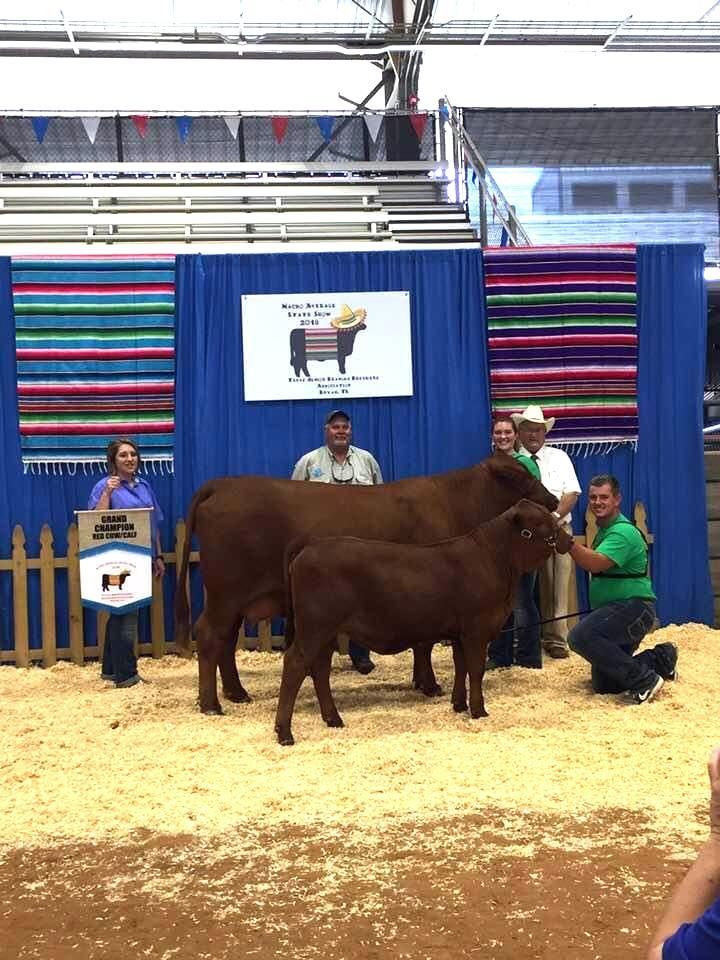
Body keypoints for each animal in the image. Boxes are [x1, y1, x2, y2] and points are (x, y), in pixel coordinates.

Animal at [174, 454, 559, 715]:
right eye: (523, 477)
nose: (555, 500)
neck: (455, 502)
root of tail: (222, 484)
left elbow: (422, 642)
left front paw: (422, 682)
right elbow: (424, 643)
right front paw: (429, 684)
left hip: (233, 598)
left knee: (225, 641)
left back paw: (236, 693)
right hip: (226, 592)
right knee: (210, 635)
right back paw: (211, 704)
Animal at [274, 501, 573, 745]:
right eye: (541, 522)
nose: (569, 540)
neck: (495, 560)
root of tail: (307, 549)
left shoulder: (459, 633)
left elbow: (461, 667)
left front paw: (458, 704)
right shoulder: (476, 630)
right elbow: (476, 670)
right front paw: (478, 710)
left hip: (325, 632)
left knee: (320, 670)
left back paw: (333, 719)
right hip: (315, 628)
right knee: (295, 665)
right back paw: (285, 733)